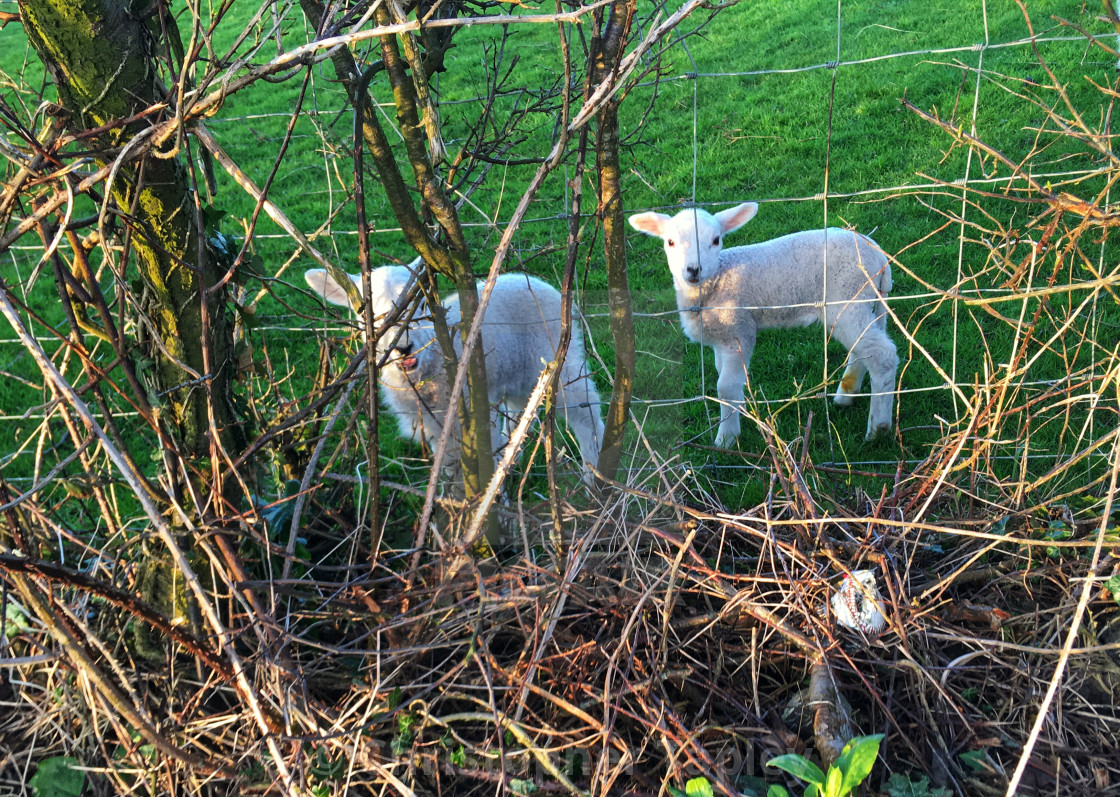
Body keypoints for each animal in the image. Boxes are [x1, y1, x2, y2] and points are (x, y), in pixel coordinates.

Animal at [304, 266, 604, 479]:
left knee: (587, 415)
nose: (404, 347)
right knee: (520, 411)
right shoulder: (436, 429)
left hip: (561, 362)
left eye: (422, 305)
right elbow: (451, 469)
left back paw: (594, 477)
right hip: (516, 373)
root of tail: (533, 280)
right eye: (368, 314)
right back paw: (511, 457)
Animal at [631, 202, 900, 445]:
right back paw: (846, 394)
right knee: (864, 347)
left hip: (848, 297)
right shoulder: (721, 339)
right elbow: (725, 375)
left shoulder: (739, 330)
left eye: (716, 240)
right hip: (863, 300)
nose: (693, 270)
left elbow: (725, 387)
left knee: (882, 354)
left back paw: (878, 429)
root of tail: (879, 255)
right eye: (670, 242)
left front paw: (727, 438)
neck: (715, 283)